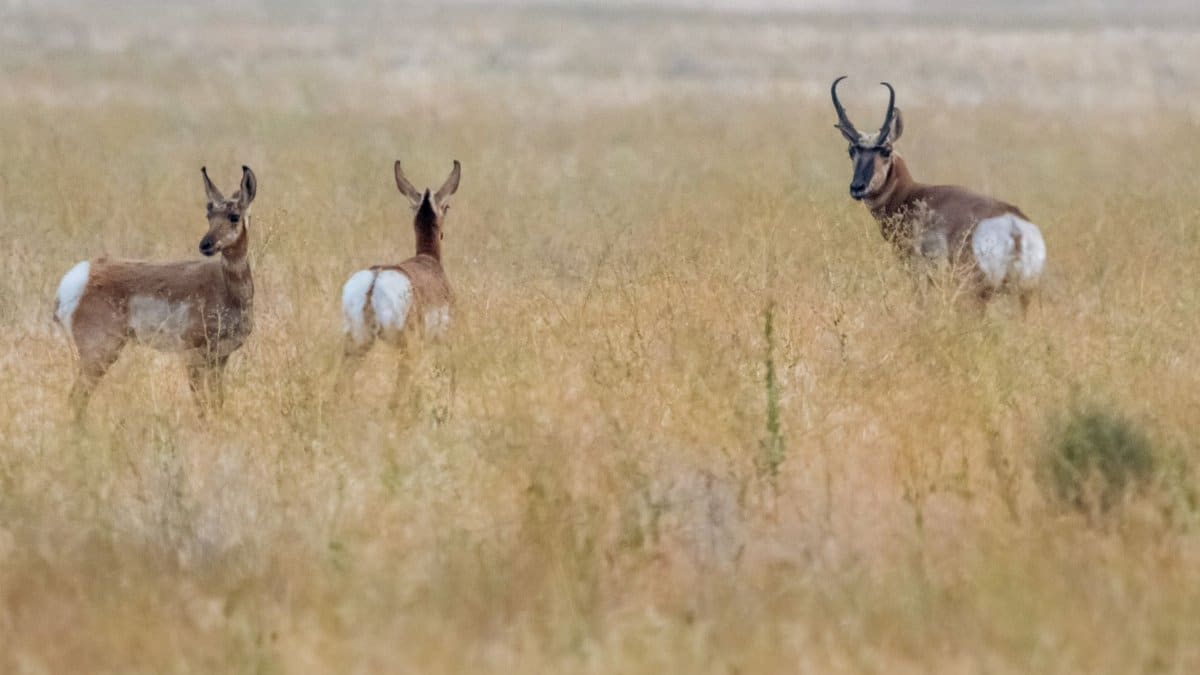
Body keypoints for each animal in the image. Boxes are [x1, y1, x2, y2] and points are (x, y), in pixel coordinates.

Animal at [53, 166, 258, 421]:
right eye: (209, 216)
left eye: (234, 216)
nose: (205, 245)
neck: (226, 289)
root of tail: (81, 275)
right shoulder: (193, 356)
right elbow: (201, 405)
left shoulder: (220, 358)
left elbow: (217, 402)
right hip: (99, 354)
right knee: (76, 398)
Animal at [830, 76, 1046, 310]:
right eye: (852, 150)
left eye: (886, 150)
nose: (857, 187)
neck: (911, 194)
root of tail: (1015, 224)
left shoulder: (916, 269)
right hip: (1020, 292)